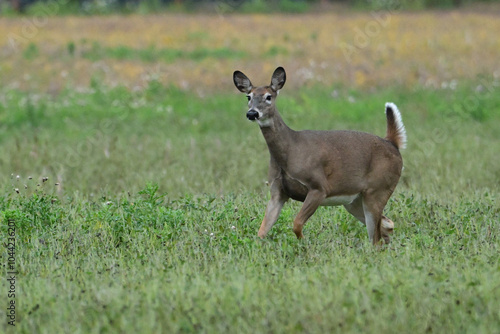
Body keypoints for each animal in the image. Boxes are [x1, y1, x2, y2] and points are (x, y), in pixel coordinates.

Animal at [234, 66, 406, 244]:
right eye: (249, 96)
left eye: (268, 97)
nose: (252, 113)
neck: (290, 151)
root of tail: (392, 144)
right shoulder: (277, 192)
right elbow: (261, 231)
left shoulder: (319, 186)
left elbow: (297, 224)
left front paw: (305, 243)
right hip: (354, 200)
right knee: (387, 226)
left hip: (378, 189)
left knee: (377, 237)